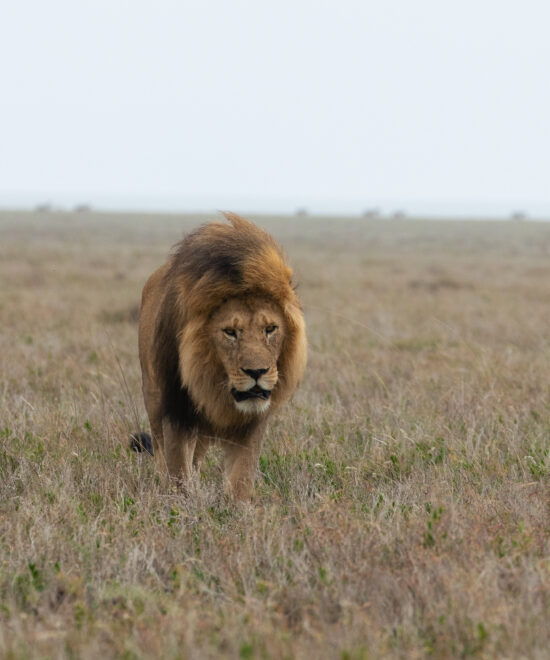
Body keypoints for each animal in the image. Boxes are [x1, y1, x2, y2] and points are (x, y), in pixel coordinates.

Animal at [136, 212, 307, 499]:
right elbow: (177, 467)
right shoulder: (176, 407)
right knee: (161, 450)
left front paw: (234, 507)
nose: (257, 372)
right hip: (153, 395)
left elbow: (241, 477)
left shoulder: (253, 422)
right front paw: (180, 501)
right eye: (230, 332)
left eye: (270, 329)